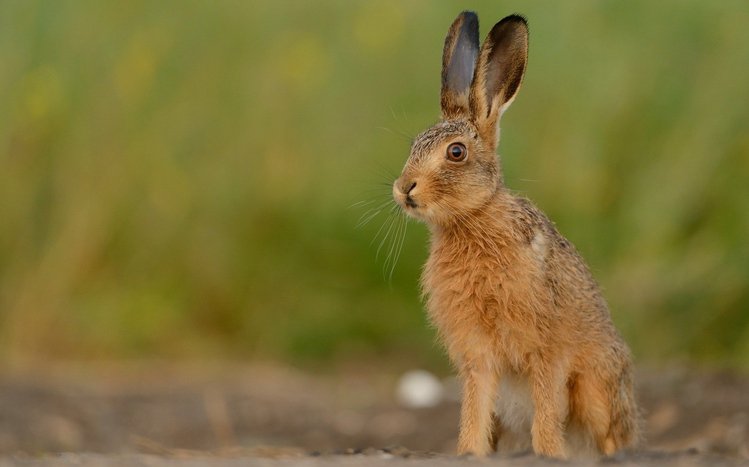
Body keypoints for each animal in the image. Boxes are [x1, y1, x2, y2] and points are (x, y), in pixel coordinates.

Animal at [391, 12, 639, 458]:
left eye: (456, 152)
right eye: (414, 145)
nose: (404, 189)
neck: (473, 222)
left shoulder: (546, 350)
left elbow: (546, 409)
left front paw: (549, 453)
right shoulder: (477, 356)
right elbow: (474, 410)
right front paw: (468, 452)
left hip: (595, 389)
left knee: (609, 433)